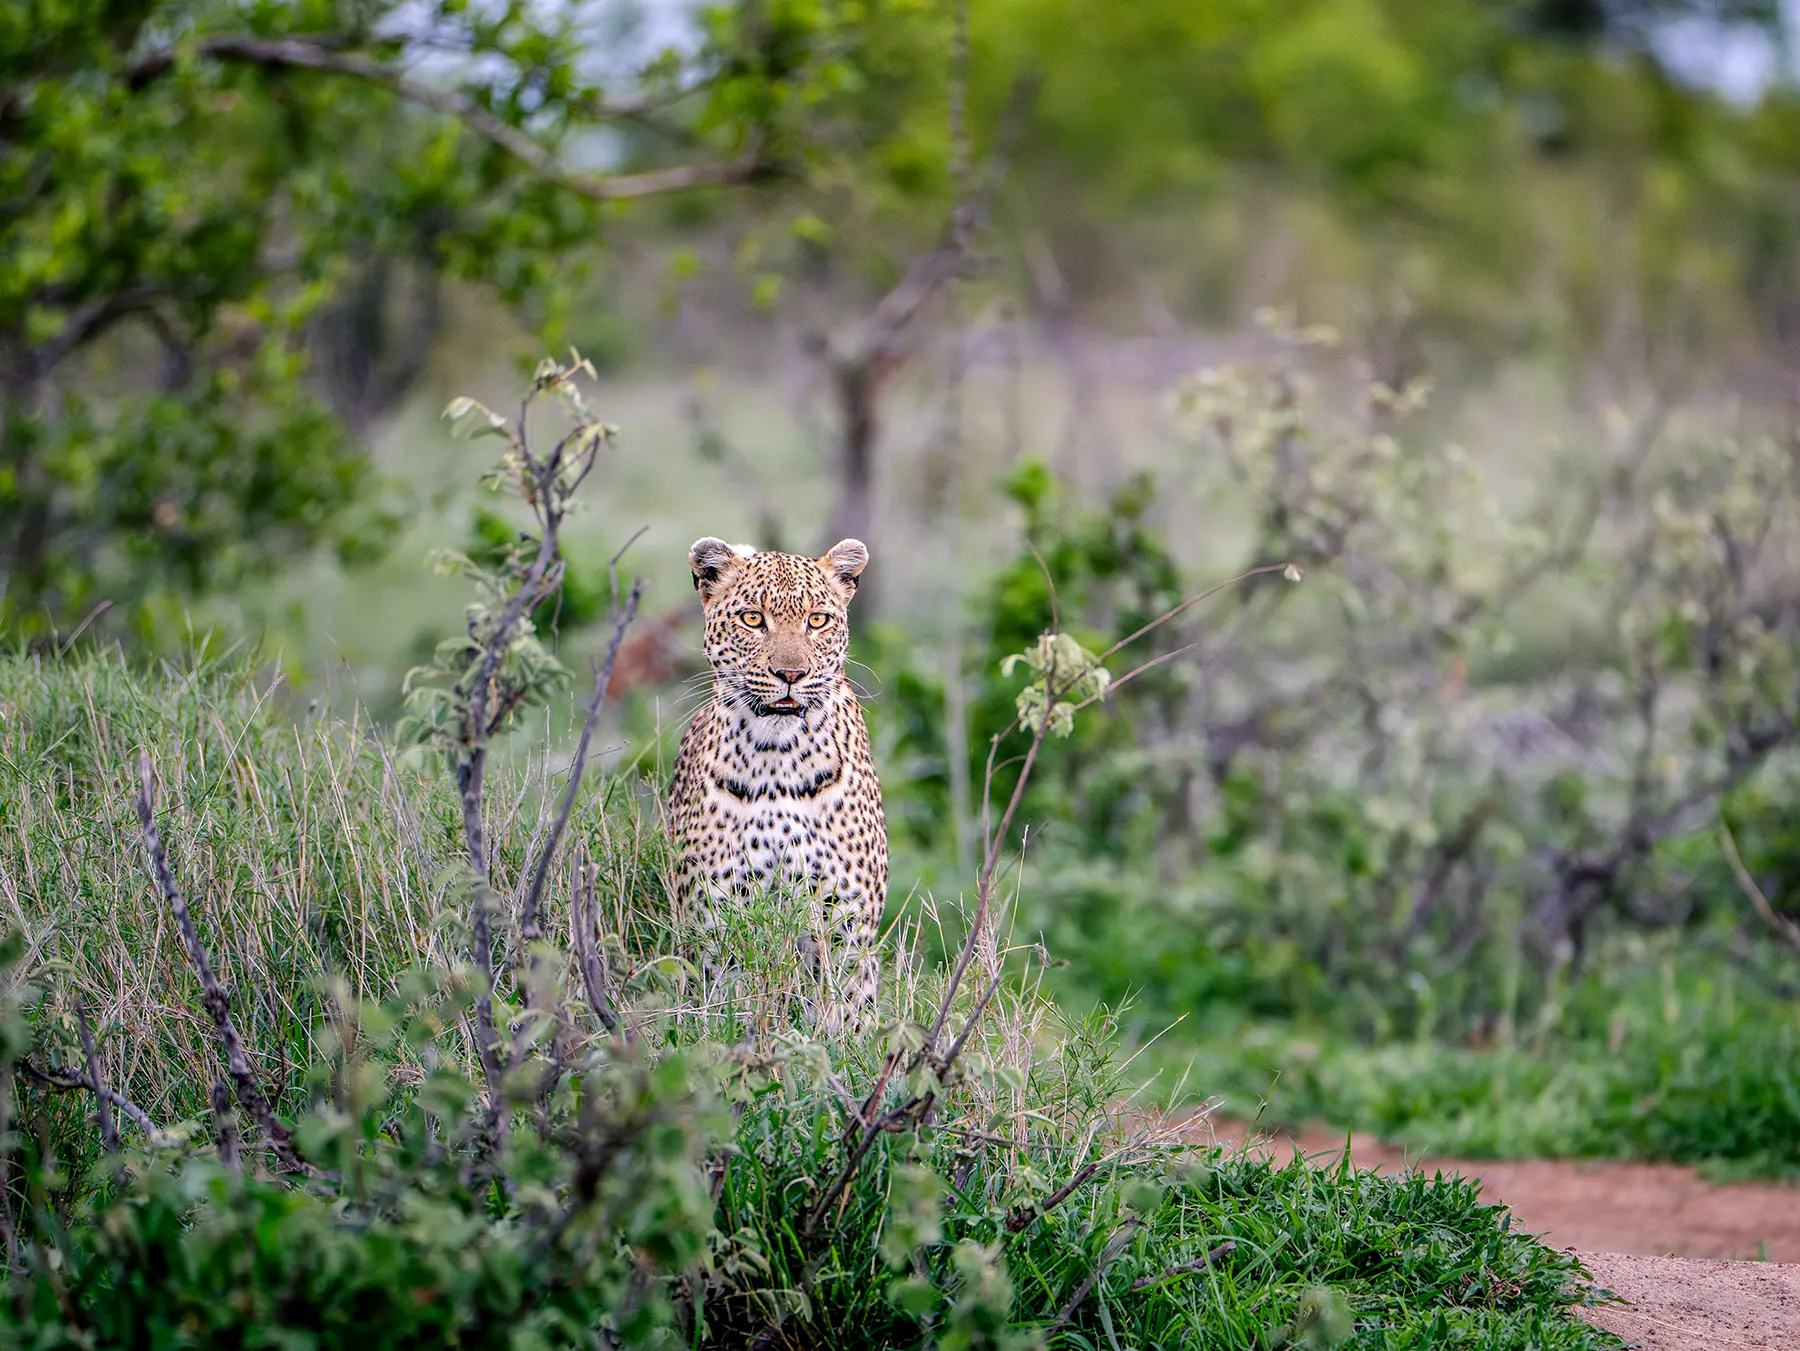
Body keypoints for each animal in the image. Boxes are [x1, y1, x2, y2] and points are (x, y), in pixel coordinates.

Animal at [665, 535, 888, 1031]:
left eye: (817, 620)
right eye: (753, 619)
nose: (791, 674)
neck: (777, 757)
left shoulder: (845, 921)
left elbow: (841, 1010)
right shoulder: (716, 915)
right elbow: (731, 1008)